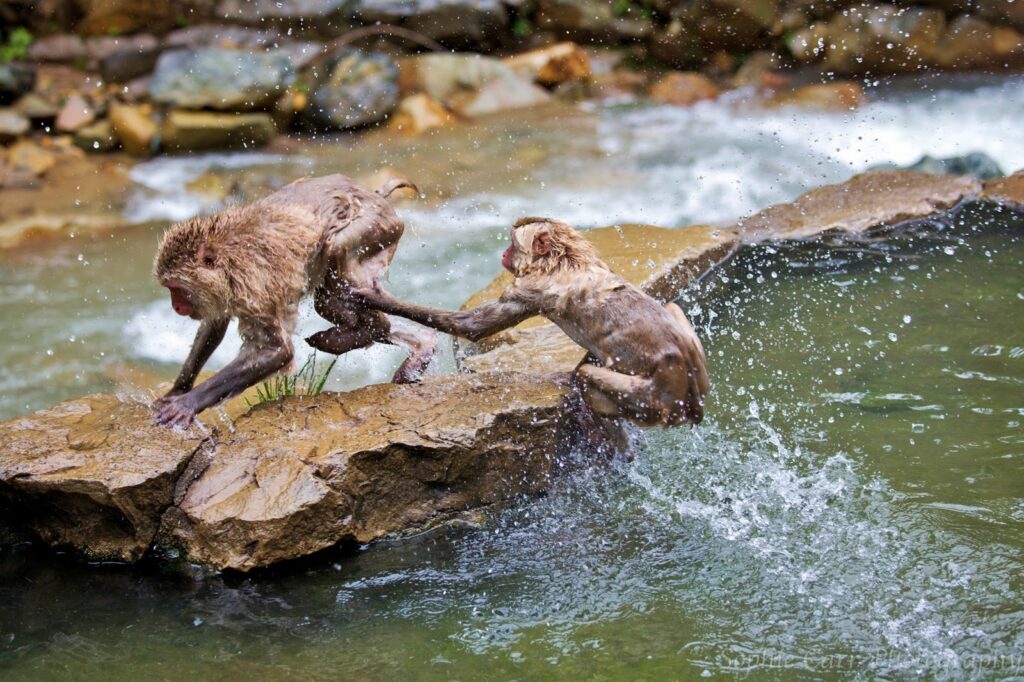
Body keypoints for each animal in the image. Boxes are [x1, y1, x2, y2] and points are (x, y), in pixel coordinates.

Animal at [150, 171, 436, 425]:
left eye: (176, 288)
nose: (175, 306)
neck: (228, 257)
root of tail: (374, 194)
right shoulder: (222, 293)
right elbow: (214, 325)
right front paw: (177, 390)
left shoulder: (252, 287)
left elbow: (277, 350)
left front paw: (188, 403)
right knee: (329, 299)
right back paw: (421, 345)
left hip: (376, 227)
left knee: (336, 259)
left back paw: (367, 330)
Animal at [352, 218, 712, 428]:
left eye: (512, 242)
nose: (502, 252)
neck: (562, 258)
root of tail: (689, 394)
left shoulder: (528, 289)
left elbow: (474, 327)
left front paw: (373, 296)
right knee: (672, 306)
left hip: (652, 399)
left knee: (588, 377)